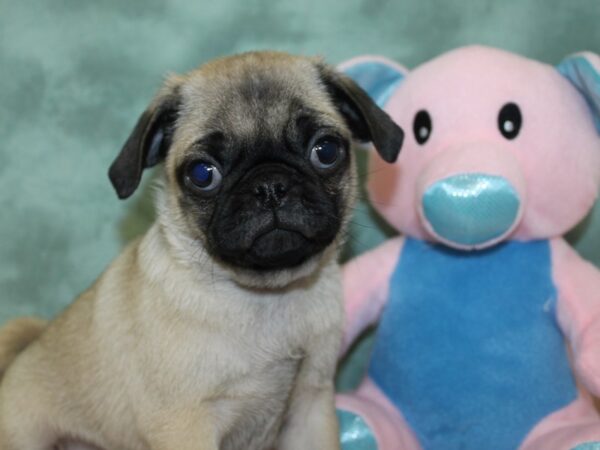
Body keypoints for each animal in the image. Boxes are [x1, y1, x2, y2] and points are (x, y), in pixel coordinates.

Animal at [1, 51, 404, 448]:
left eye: (326, 151)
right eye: (202, 174)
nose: (270, 186)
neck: (267, 297)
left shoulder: (311, 407)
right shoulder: (186, 424)